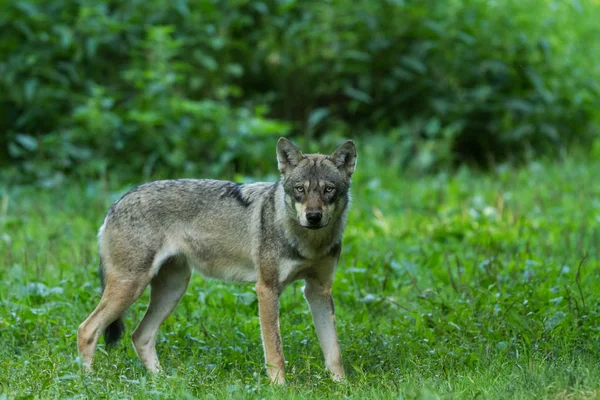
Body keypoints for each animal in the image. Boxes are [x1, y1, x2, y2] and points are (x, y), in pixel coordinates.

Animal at [75, 138, 356, 384]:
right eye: (300, 189)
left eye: (328, 190)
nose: (313, 216)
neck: (310, 244)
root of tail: (116, 202)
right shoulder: (267, 289)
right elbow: (275, 351)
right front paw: (279, 388)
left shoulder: (318, 291)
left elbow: (334, 350)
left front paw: (342, 386)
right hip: (131, 287)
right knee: (86, 330)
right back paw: (90, 382)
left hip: (172, 289)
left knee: (139, 336)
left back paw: (162, 381)